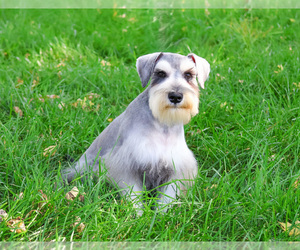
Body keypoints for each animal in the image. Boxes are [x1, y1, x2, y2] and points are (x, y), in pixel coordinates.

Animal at [63, 51, 210, 214]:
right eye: (160, 73)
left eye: (189, 74)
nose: (176, 96)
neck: (162, 124)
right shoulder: (126, 164)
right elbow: (133, 193)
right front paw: (138, 214)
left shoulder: (176, 169)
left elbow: (167, 196)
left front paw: (160, 215)